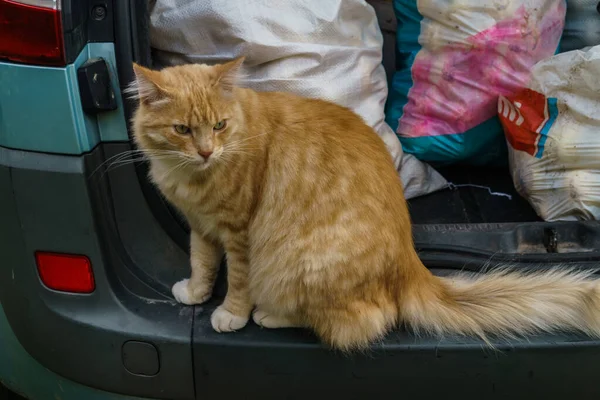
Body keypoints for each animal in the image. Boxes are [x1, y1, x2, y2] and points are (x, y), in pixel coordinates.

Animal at [132, 58, 600, 350]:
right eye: (182, 129)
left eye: (219, 126)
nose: (206, 152)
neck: (193, 176)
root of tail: (410, 261)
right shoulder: (202, 227)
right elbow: (201, 263)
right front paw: (195, 293)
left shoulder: (239, 234)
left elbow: (239, 283)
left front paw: (231, 313)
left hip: (298, 264)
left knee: (363, 320)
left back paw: (271, 315)